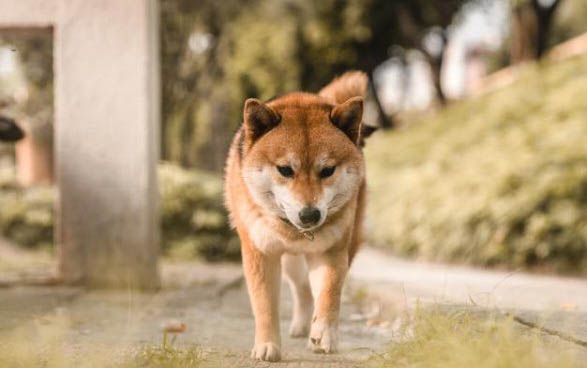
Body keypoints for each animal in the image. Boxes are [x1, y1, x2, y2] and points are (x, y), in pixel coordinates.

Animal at [223, 72, 374, 362]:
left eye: (327, 170)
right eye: (285, 170)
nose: (310, 214)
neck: (295, 232)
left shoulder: (331, 252)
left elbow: (329, 294)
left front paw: (324, 334)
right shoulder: (260, 253)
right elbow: (264, 305)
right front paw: (267, 345)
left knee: (310, 290)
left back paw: (311, 328)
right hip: (291, 262)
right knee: (301, 289)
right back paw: (301, 326)